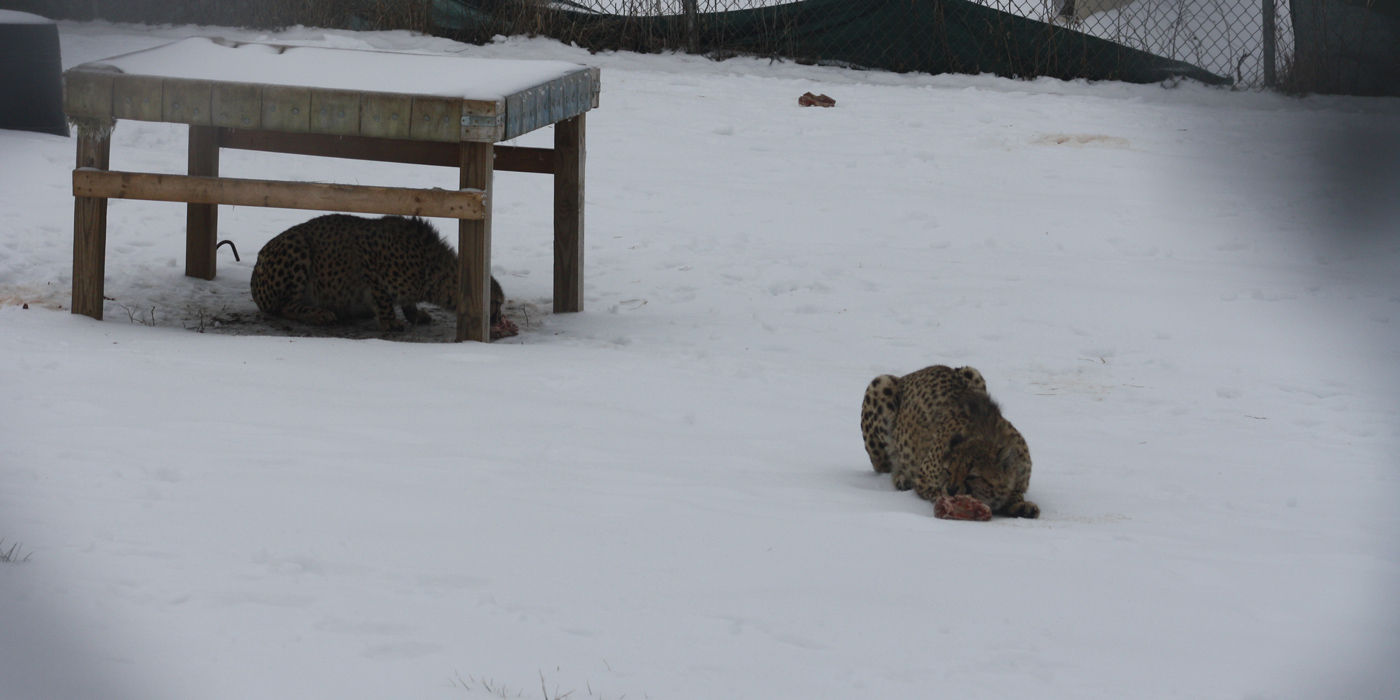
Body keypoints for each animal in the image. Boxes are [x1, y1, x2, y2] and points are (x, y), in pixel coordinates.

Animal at [249, 212, 518, 336]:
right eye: (495, 303)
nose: (497, 318)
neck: (432, 268)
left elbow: (407, 302)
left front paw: (414, 314)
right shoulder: (368, 253)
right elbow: (382, 297)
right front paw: (390, 321)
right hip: (297, 246)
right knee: (285, 306)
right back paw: (319, 313)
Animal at [862, 364, 1041, 518]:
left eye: (972, 476)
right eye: (948, 471)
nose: (951, 489)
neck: (983, 434)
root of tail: (911, 374)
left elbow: (1015, 493)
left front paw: (1020, 506)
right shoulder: (923, 480)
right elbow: (935, 491)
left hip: (972, 372)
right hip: (880, 385)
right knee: (885, 467)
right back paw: (901, 478)